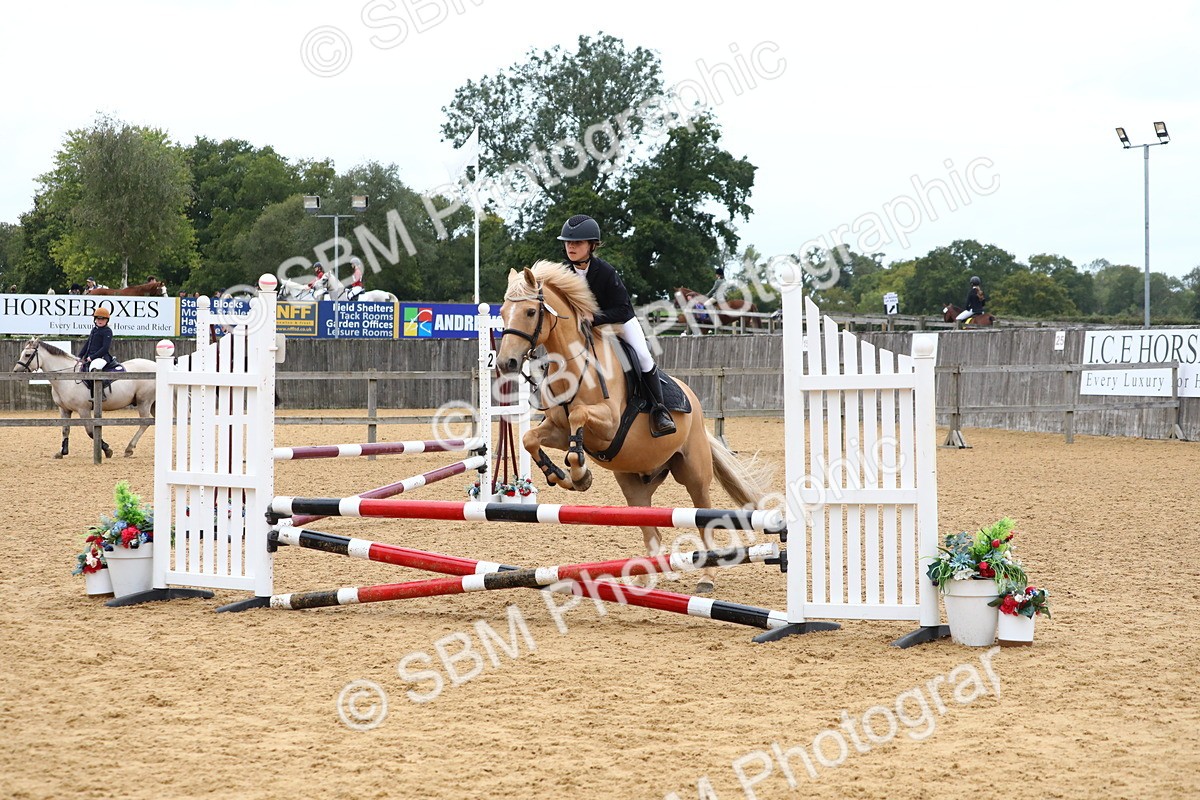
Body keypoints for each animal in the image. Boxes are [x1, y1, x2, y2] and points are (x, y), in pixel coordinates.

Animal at [11, 338, 157, 459]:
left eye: (27, 355)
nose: (15, 372)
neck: (67, 378)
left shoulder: (83, 410)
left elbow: (90, 431)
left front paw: (107, 450)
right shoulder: (64, 409)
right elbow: (65, 429)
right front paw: (62, 452)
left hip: (144, 401)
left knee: (145, 422)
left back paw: (129, 449)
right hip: (153, 404)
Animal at [495, 261, 774, 594]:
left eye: (529, 312)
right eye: (502, 312)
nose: (506, 363)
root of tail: (694, 405)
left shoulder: (608, 425)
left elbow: (578, 418)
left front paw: (580, 473)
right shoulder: (557, 431)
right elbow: (530, 438)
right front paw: (561, 476)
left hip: (693, 474)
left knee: (703, 519)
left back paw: (706, 578)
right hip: (634, 483)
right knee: (651, 528)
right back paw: (643, 579)